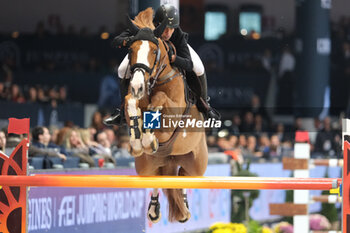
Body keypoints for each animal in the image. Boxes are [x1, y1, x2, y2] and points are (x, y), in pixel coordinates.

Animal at [122, 8, 206, 223]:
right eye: (130, 50)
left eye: (154, 51)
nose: (137, 86)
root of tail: (171, 159)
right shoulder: (134, 98)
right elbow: (130, 101)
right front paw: (138, 141)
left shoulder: (173, 116)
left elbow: (159, 101)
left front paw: (148, 138)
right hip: (145, 166)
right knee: (156, 179)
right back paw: (153, 210)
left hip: (197, 166)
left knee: (184, 177)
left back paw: (184, 208)